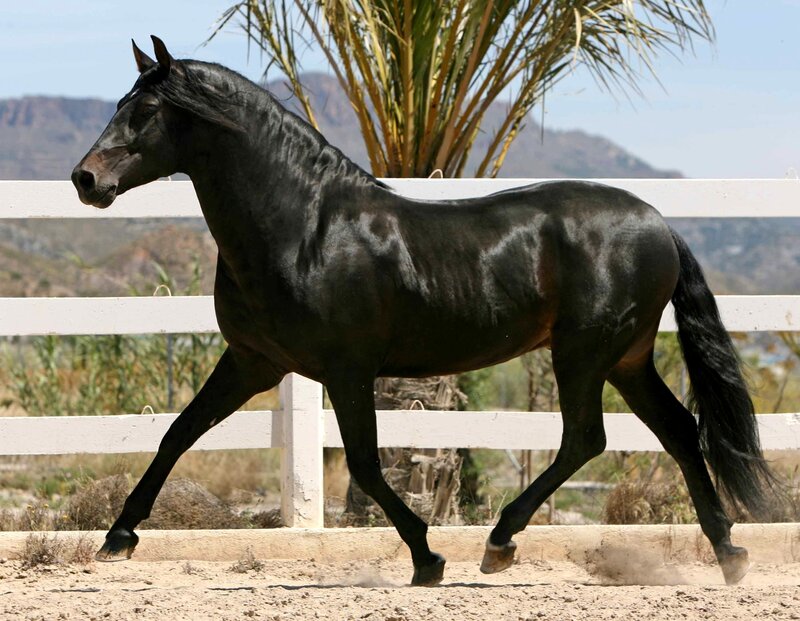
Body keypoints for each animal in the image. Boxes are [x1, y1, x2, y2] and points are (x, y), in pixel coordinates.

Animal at [72, 36, 774, 587]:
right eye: (118, 104)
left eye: (148, 110)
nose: (86, 180)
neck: (305, 227)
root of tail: (658, 223)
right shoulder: (255, 363)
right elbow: (178, 432)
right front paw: (117, 540)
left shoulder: (347, 369)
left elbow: (365, 463)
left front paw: (427, 558)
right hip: (626, 358)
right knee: (678, 431)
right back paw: (730, 554)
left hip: (584, 353)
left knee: (586, 439)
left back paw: (500, 543)